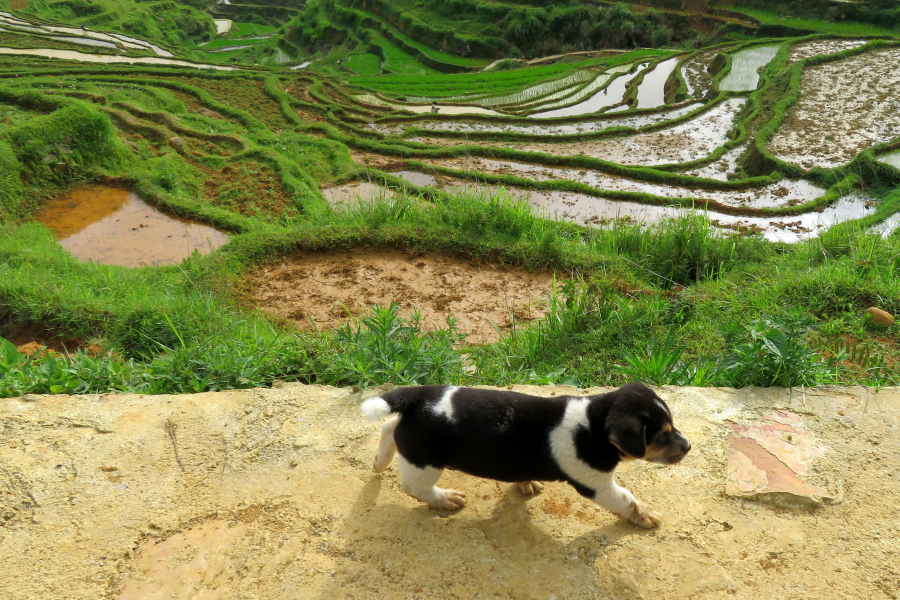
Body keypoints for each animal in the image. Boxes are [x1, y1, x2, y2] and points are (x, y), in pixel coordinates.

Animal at [358, 382, 688, 528]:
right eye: (661, 436)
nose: (687, 447)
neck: (593, 424)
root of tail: (419, 394)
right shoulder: (597, 484)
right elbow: (627, 500)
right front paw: (646, 515)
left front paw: (525, 483)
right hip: (426, 461)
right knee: (413, 486)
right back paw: (445, 498)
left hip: (411, 439)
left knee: (390, 427)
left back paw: (380, 461)